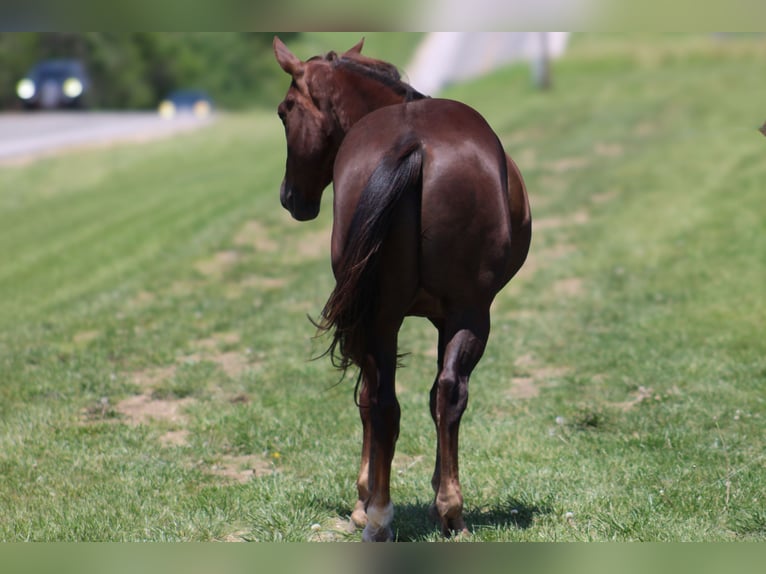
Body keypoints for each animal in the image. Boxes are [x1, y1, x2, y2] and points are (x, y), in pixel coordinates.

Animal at [274, 36, 531, 541]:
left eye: (284, 111)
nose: (290, 197)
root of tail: (414, 144)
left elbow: (368, 402)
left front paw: (362, 497)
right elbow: (433, 397)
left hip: (390, 316)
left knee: (383, 402)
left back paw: (379, 514)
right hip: (466, 313)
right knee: (443, 393)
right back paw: (448, 511)